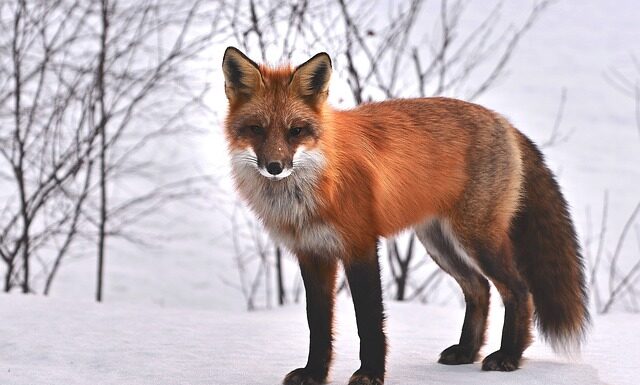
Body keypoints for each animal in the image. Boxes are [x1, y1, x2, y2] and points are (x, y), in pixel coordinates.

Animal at [221, 47, 592, 384]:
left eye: (295, 131)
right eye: (256, 129)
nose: (275, 167)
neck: (315, 185)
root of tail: (504, 121)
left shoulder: (360, 246)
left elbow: (369, 321)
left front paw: (370, 374)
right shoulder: (312, 254)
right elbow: (318, 324)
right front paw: (315, 374)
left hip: (476, 239)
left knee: (518, 290)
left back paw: (509, 357)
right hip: (440, 243)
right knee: (479, 289)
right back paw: (467, 351)